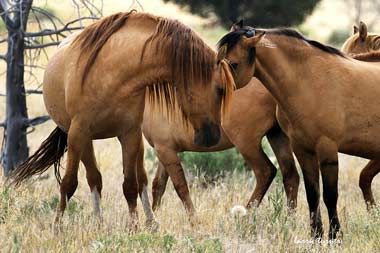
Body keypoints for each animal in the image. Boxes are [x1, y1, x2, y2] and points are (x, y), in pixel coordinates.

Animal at [146, 76, 300, 215]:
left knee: (266, 171)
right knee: (290, 175)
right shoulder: (165, 150)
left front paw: (194, 221)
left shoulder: (165, 150)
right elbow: (158, 186)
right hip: (276, 135)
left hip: (246, 142)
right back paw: (288, 219)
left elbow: (180, 187)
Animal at [218, 22, 380, 239]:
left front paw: (334, 236)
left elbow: (330, 196)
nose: (219, 91)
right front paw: (316, 235)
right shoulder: (303, 150)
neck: (310, 81)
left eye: (234, 64)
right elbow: (313, 194)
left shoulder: (327, 150)